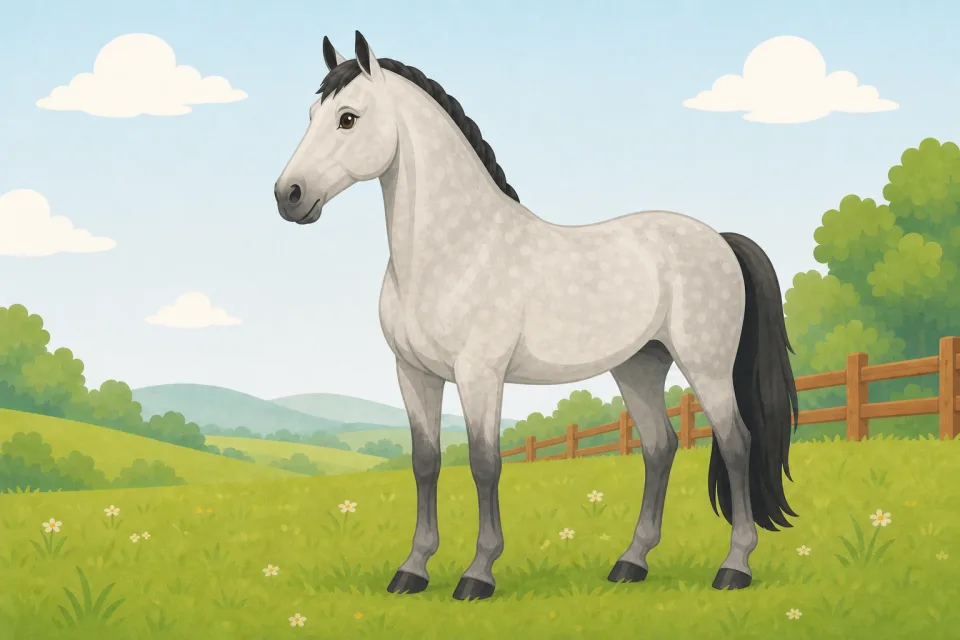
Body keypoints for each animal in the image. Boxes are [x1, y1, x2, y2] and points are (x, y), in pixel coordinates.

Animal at [274, 31, 799, 601]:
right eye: (311, 114)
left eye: (347, 118)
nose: (288, 195)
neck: (454, 253)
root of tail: (719, 239)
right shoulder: (413, 373)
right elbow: (425, 463)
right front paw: (412, 569)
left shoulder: (480, 375)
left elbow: (484, 463)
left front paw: (478, 574)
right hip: (639, 366)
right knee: (660, 447)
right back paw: (631, 562)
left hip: (706, 366)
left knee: (735, 443)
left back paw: (734, 567)